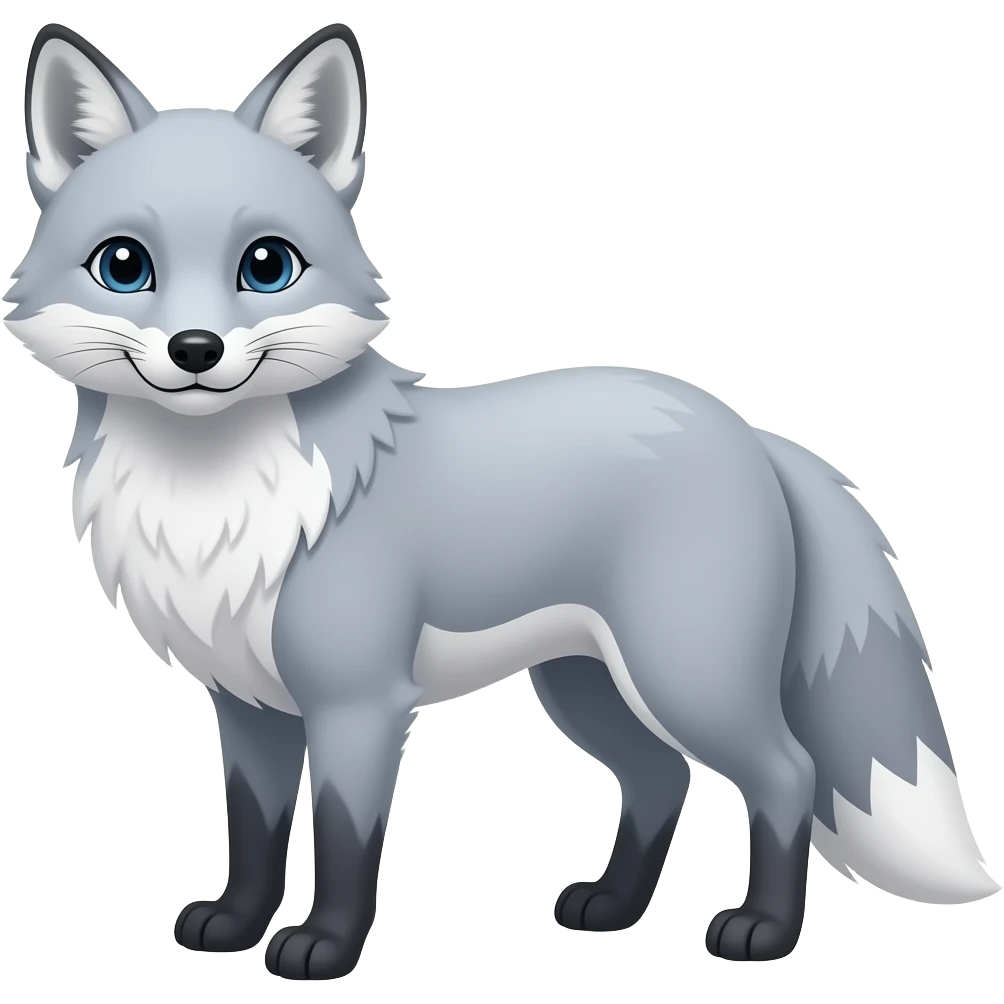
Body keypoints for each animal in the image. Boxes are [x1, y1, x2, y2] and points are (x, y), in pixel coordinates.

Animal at [5, 20, 999, 982]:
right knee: (661, 778)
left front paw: (324, 949)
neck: (212, 502)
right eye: (125, 266)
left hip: (685, 675)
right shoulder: (248, 702)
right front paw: (234, 925)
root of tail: (747, 429)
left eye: (267, 266)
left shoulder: (360, 701)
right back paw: (612, 908)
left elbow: (345, 840)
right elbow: (251, 829)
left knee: (788, 773)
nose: (197, 349)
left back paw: (761, 931)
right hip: (586, 684)